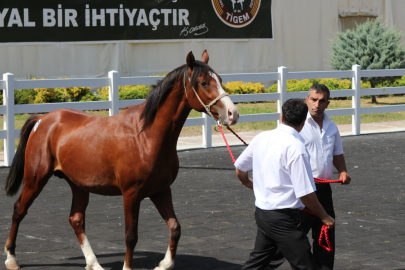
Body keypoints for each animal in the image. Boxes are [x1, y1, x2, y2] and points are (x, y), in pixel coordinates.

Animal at [3, 51, 238, 270]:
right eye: (203, 82)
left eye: (220, 80)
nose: (232, 113)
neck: (146, 136)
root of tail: (42, 119)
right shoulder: (131, 194)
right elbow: (131, 235)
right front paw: (128, 266)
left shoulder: (161, 190)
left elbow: (175, 227)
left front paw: (164, 264)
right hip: (35, 179)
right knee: (18, 210)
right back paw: (11, 258)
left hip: (78, 184)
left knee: (76, 219)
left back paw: (94, 263)